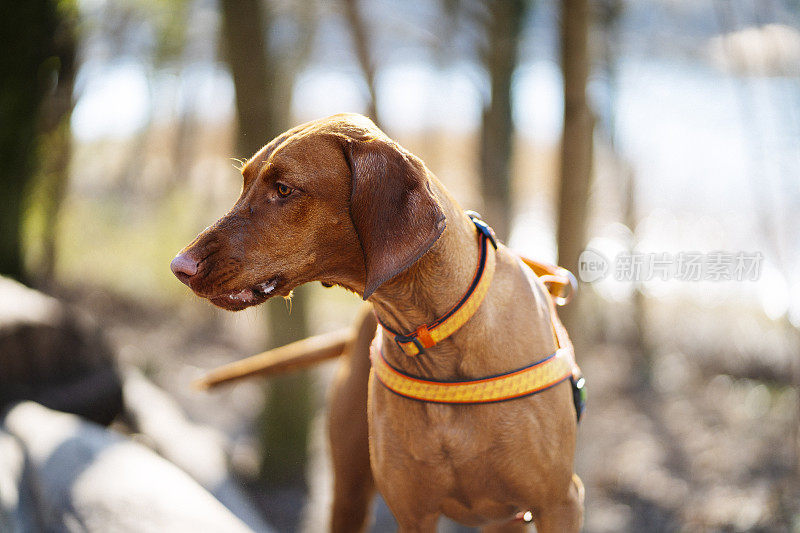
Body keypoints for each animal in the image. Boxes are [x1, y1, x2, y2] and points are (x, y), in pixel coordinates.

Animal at [170, 114, 580, 528]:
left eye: (284, 189)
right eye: (244, 183)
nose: (179, 267)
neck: (433, 334)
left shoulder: (560, 502)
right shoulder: (413, 514)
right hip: (349, 492)